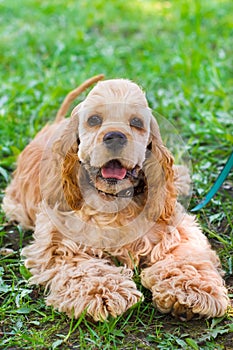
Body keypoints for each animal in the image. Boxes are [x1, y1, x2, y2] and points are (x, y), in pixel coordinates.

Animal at [2, 75, 229, 322]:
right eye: (94, 119)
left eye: (136, 122)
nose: (115, 137)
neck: (114, 200)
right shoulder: (59, 243)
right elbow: (83, 267)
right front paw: (104, 293)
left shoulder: (176, 228)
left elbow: (187, 257)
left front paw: (192, 290)